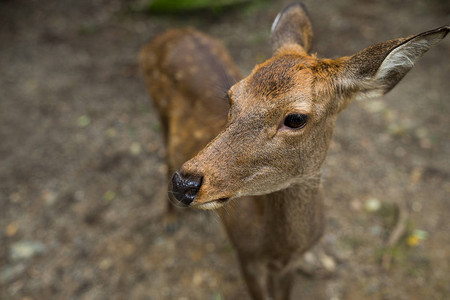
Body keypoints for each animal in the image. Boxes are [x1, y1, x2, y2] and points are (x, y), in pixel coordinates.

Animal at [139, 2, 448, 300]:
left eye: (296, 118)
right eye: (232, 97)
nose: (185, 184)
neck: (279, 248)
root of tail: (166, 34)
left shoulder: (288, 265)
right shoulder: (244, 254)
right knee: (165, 156)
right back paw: (169, 220)